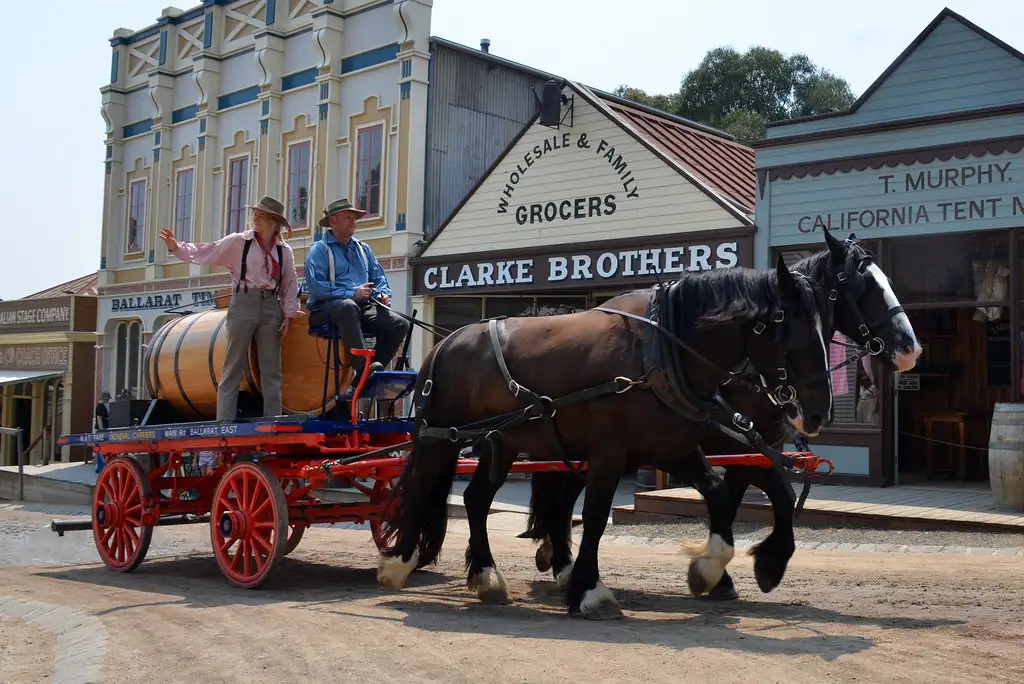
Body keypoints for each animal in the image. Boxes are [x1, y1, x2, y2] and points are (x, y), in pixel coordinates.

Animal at [520, 228, 921, 597]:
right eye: (862, 286)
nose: (910, 348)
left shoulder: (751, 448)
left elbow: (756, 499)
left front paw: (742, 568)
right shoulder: (737, 447)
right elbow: (760, 497)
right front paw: (742, 569)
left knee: (564, 496)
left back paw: (558, 558)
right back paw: (562, 562)